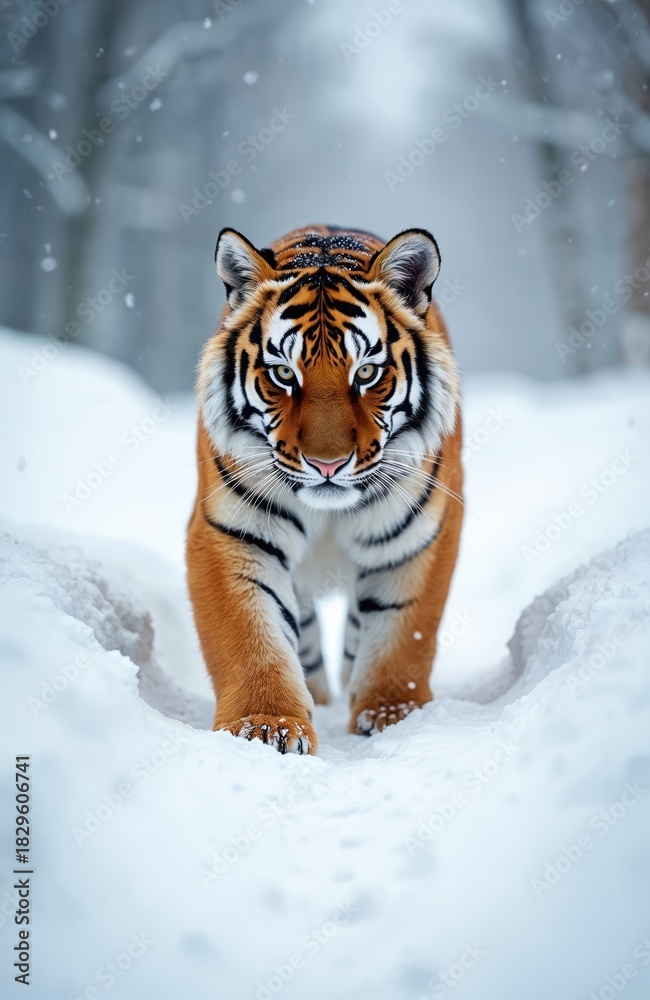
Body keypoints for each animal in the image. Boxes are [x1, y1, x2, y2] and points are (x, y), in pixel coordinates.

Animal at [186, 224, 463, 755]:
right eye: (284, 374)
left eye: (366, 372)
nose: (327, 464)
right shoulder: (231, 534)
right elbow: (251, 635)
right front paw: (266, 725)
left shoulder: (419, 536)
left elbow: (404, 633)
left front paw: (393, 715)